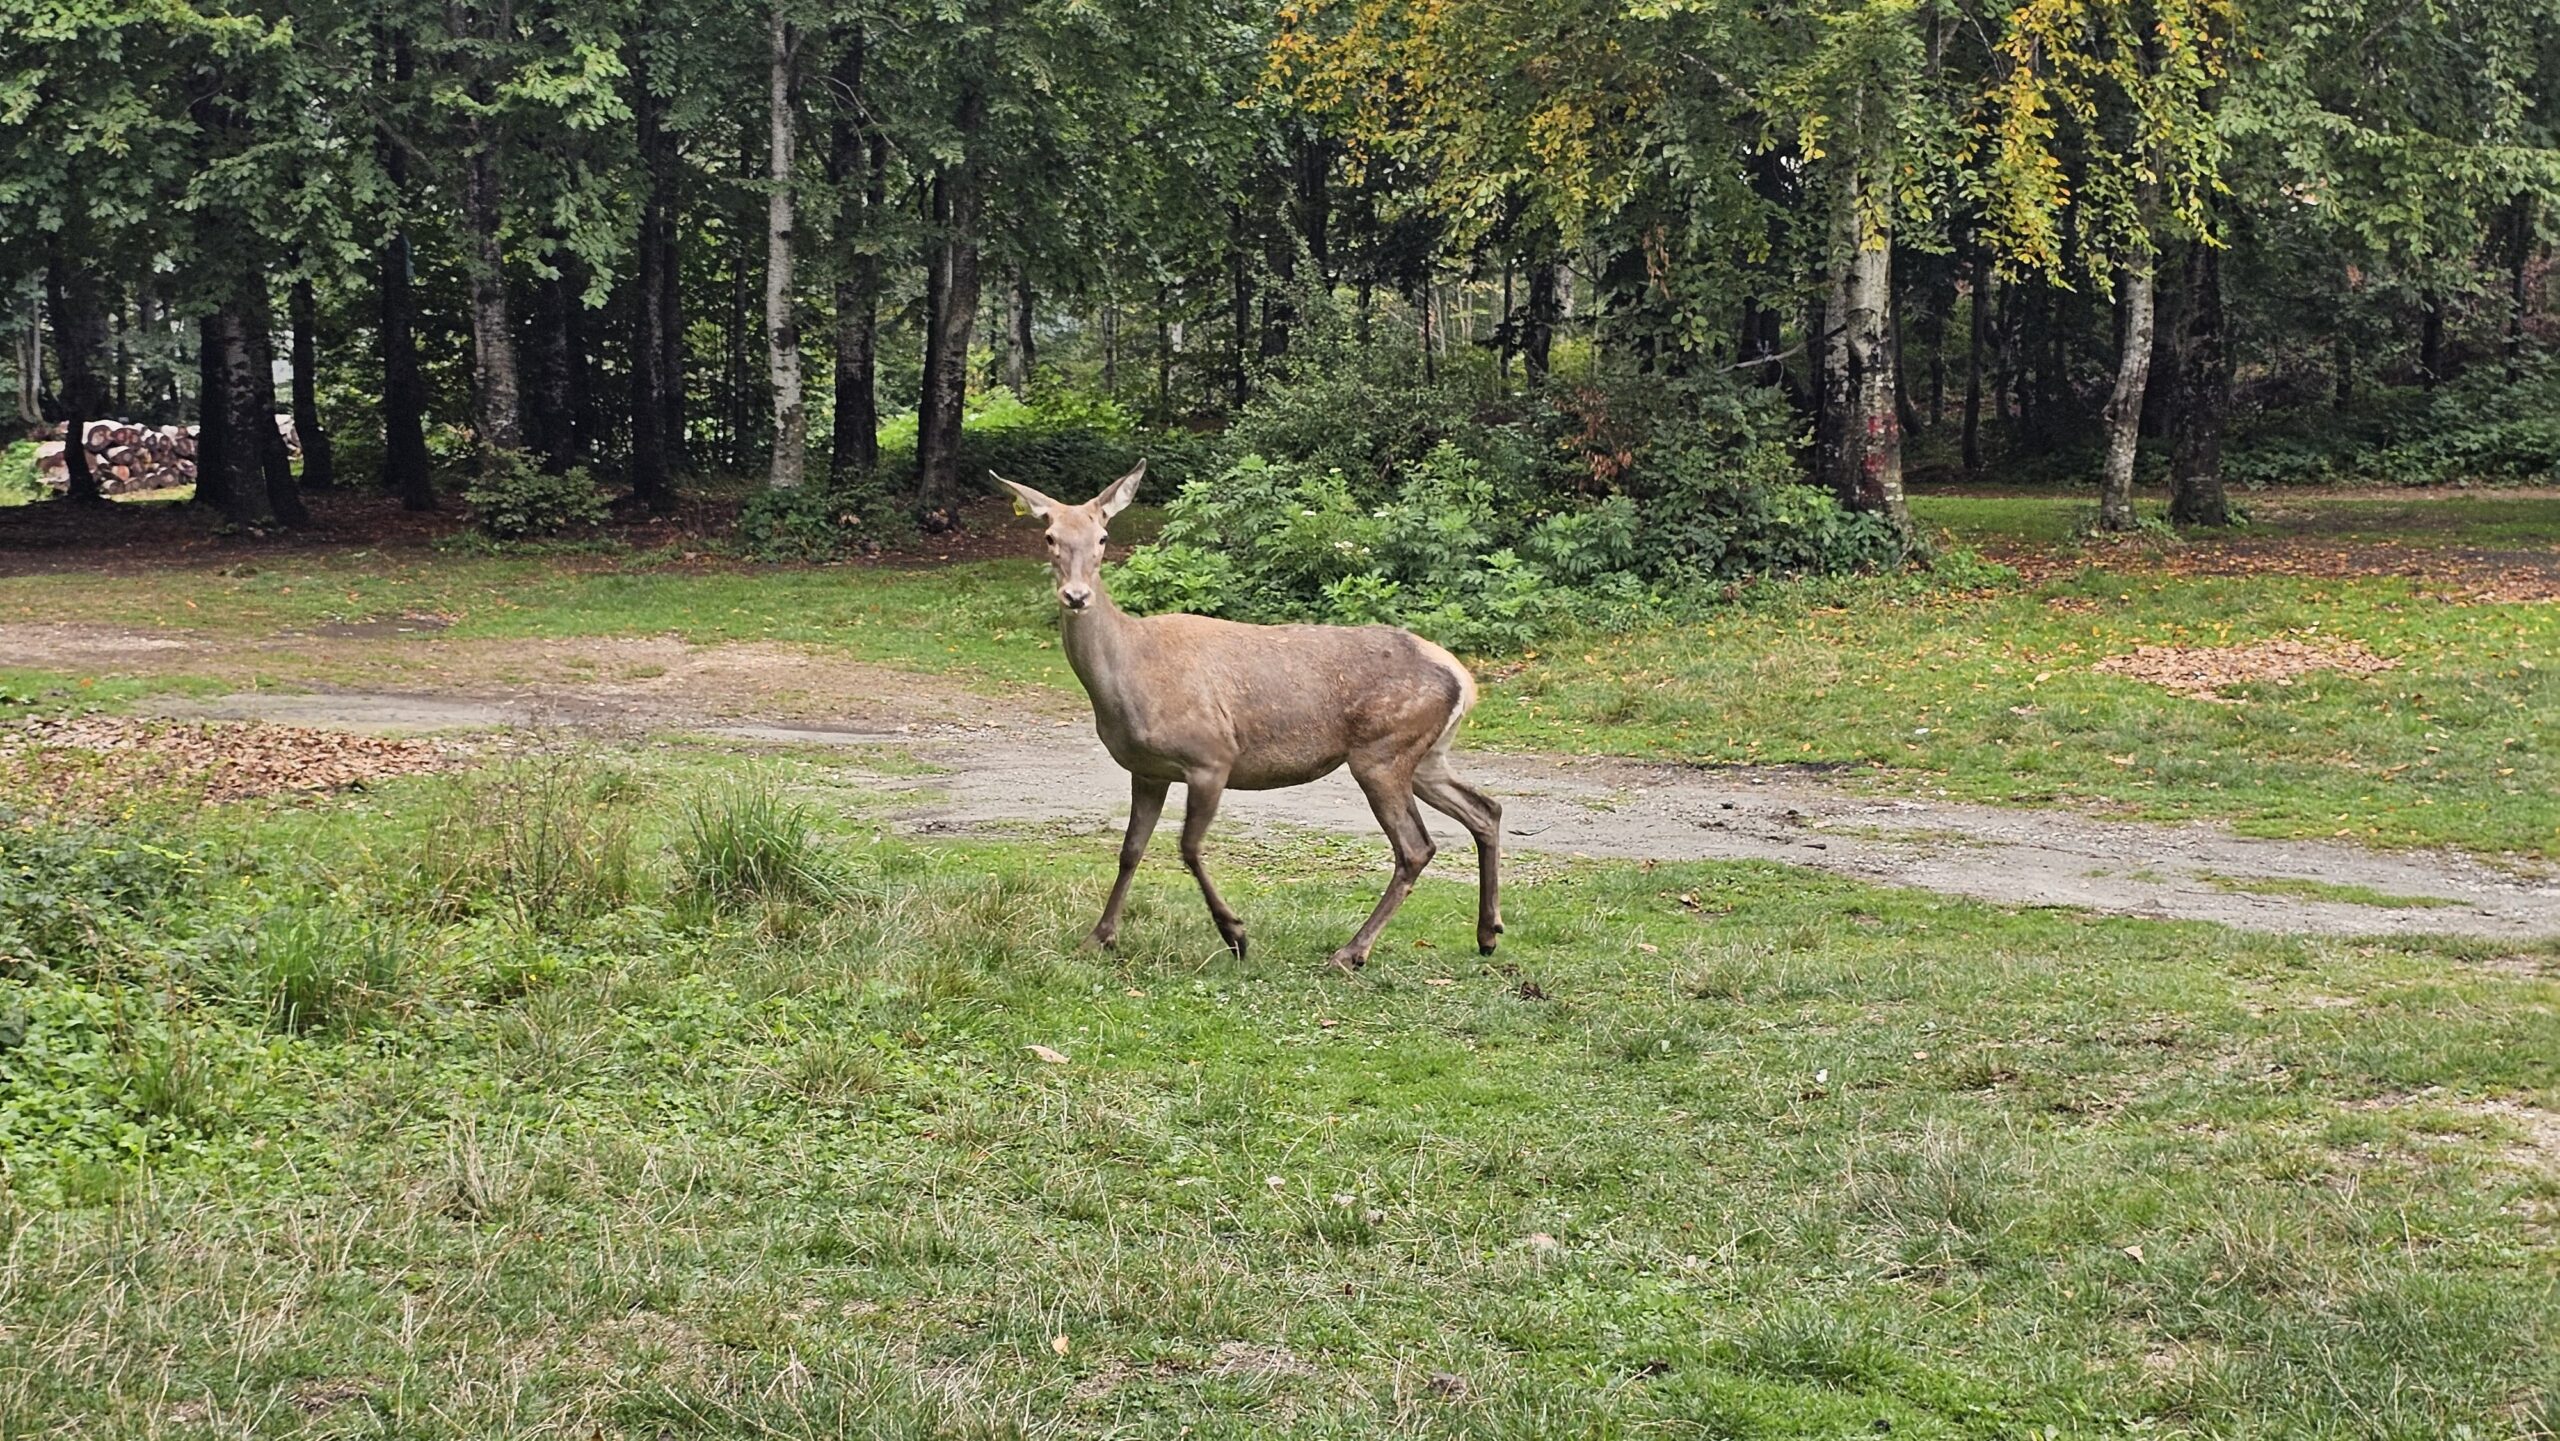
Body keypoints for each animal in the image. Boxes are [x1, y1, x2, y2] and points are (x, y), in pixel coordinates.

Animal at [983, 463, 1495, 977]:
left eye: (1103, 537)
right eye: (1050, 536)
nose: (1076, 596)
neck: (1130, 675)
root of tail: (1464, 679)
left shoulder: (1211, 756)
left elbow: (1188, 847)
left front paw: (1235, 934)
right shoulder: (1146, 770)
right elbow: (1130, 850)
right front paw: (1098, 937)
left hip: (1382, 752)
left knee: (1416, 846)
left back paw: (1352, 951)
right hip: (1425, 756)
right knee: (1485, 809)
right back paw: (1487, 933)